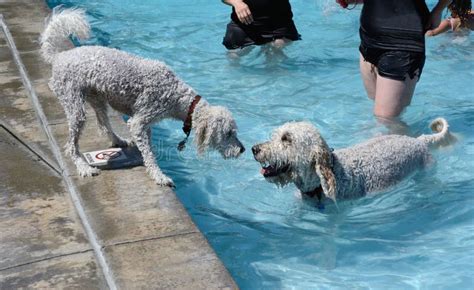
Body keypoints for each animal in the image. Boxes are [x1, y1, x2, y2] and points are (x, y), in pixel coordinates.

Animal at [40, 9, 244, 187]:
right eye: (228, 133)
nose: (242, 149)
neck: (179, 98)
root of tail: (59, 56)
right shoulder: (139, 121)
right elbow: (150, 154)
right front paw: (159, 176)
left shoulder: (146, 124)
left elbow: (148, 147)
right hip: (74, 104)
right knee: (71, 146)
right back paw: (83, 167)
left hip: (97, 98)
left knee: (104, 124)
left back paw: (120, 141)